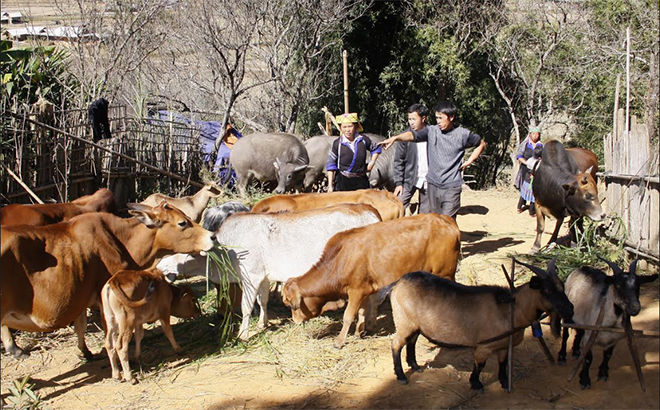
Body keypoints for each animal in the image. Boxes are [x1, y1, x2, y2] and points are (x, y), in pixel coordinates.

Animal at [0, 203, 214, 358]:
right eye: (182, 223)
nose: (212, 236)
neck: (120, 239)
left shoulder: (81, 297)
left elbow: (80, 326)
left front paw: (85, 353)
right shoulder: (103, 300)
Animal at [156, 203, 382, 340]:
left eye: (179, 256)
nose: (158, 266)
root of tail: (368, 210)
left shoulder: (250, 276)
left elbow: (246, 307)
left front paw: (243, 334)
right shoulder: (263, 278)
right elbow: (262, 301)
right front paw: (262, 324)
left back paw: (366, 324)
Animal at [282, 213, 458, 348]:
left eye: (290, 304)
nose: (295, 321)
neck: (340, 259)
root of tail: (445, 219)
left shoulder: (355, 291)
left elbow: (348, 316)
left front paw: (339, 342)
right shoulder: (365, 290)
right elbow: (361, 312)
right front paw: (359, 332)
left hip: (445, 272)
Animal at [386, 262, 572, 392]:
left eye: (562, 287)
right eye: (546, 290)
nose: (569, 308)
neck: (511, 309)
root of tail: (397, 283)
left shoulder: (503, 346)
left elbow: (503, 363)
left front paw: (505, 382)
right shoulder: (484, 346)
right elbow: (480, 365)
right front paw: (476, 384)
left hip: (415, 324)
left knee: (411, 341)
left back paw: (415, 366)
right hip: (403, 321)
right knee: (396, 344)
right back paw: (401, 376)